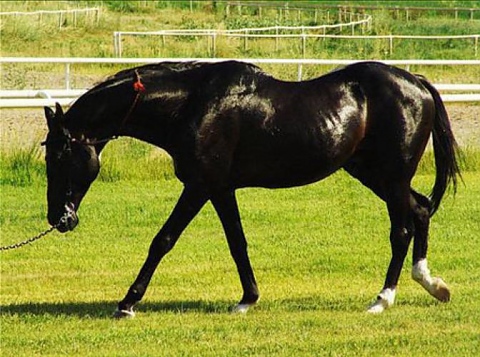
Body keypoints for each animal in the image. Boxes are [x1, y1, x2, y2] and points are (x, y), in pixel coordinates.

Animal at [43, 59, 460, 316]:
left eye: (60, 155)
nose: (59, 219)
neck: (191, 105)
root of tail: (418, 84)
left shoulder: (199, 186)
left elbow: (163, 240)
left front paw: (127, 302)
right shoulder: (220, 188)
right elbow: (237, 243)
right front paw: (247, 299)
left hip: (392, 175)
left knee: (402, 227)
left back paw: (382, 298)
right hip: (372, 173)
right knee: (421, 209)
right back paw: (431, 283)